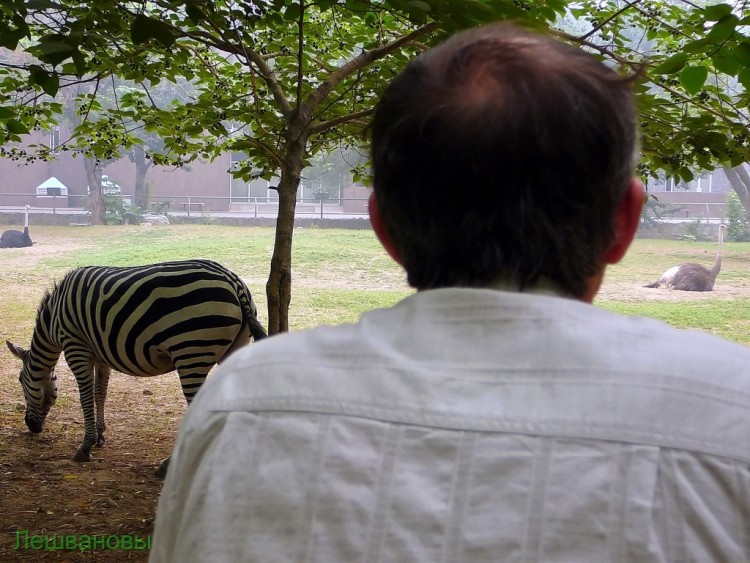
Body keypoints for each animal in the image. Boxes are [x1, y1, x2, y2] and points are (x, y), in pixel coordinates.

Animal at [6, 260, 268, 476]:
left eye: (20, 380)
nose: (31, 427)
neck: (53, 320)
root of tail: (234, 282)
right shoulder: (99, 355)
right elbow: (100, 394)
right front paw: (100, 436)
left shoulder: (75, 347)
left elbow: (85, 396)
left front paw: (85, 446)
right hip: (234, 349)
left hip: (191, 352)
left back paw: (169, 465)